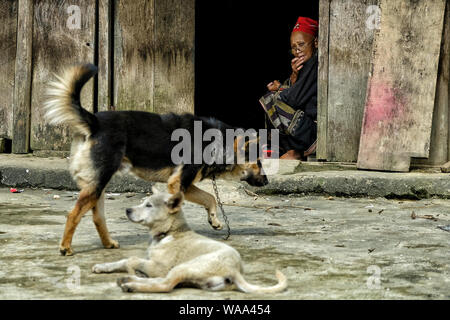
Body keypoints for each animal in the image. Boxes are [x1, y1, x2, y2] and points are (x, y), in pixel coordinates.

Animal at [43, 63, 268, 256]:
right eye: (258, 162)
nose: (267, 181)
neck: (219, 142)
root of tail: (95, 121)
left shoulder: (184, 184)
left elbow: (210, 197)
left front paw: (214, 220)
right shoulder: (177, 183)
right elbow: (191, 203)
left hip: (98, 183)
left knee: (97, 216)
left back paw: (108, 243)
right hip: (98, 182)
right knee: (74, 214)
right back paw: (66, 247)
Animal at [92, 189, 288, 294]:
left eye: (148, 205)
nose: (127, 210)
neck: (169, 232)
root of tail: (235, 271)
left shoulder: (159, 266)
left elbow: (131, 260)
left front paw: (132, 270)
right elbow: (123, 260)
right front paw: (103, 266)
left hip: (185, 266)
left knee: (166, 284)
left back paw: (132, 284)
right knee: (165, 281)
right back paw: (128, 280)